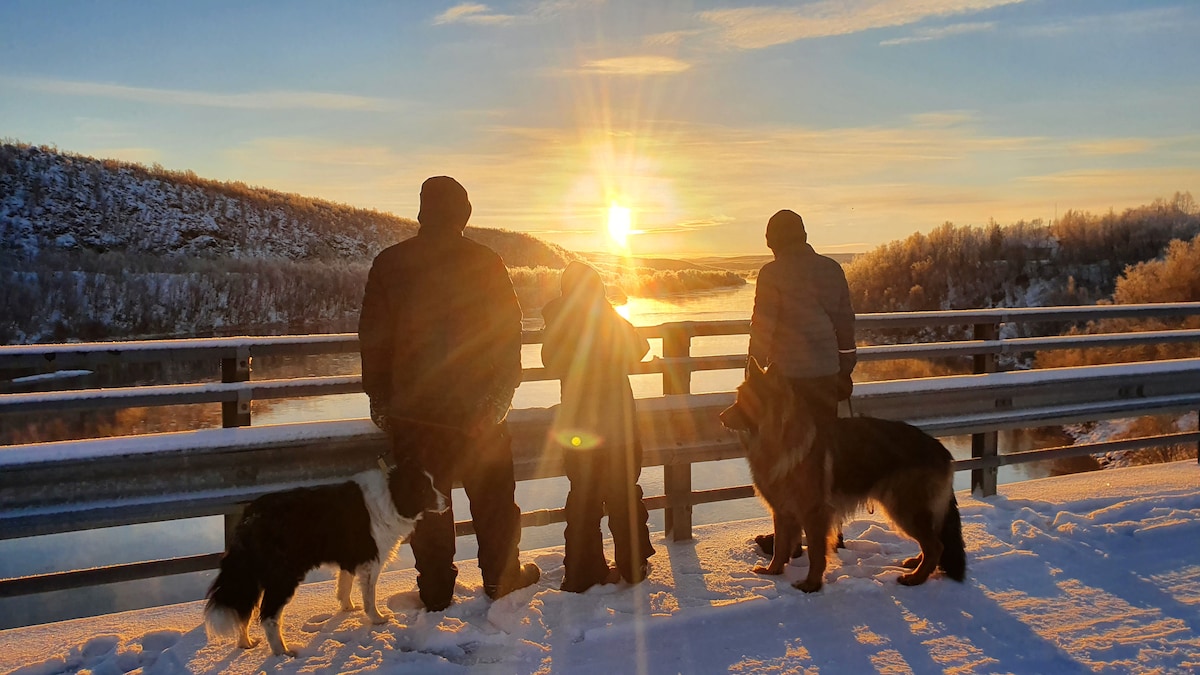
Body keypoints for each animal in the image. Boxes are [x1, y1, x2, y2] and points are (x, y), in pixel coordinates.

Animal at [204, 454, 448, 653]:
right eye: (424, 490)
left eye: (432, 484)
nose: (447, 501)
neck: (392, 494)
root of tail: (251, 514)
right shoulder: (371, 562)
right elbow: (369, 596)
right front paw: (377, 619)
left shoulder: (351, 558)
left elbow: (345, 585)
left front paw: (347, 609)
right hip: (283, 576)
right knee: (269, 616)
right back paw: (282, 652)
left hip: (253, 576)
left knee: (244, 609)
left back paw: (245, 643)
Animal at [720, 355, 964, 590]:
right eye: (738, 397)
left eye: (747, 400)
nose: (720, 417)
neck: (779, 438)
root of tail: (942, 450)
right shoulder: (782, 512)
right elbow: (780, 545)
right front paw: (773, 572)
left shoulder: (815, 514)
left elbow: (816, 553)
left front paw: (811, 585)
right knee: (933, 543)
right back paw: (916, 564)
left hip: (904, 509)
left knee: (936, 545)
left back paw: (916, 578)